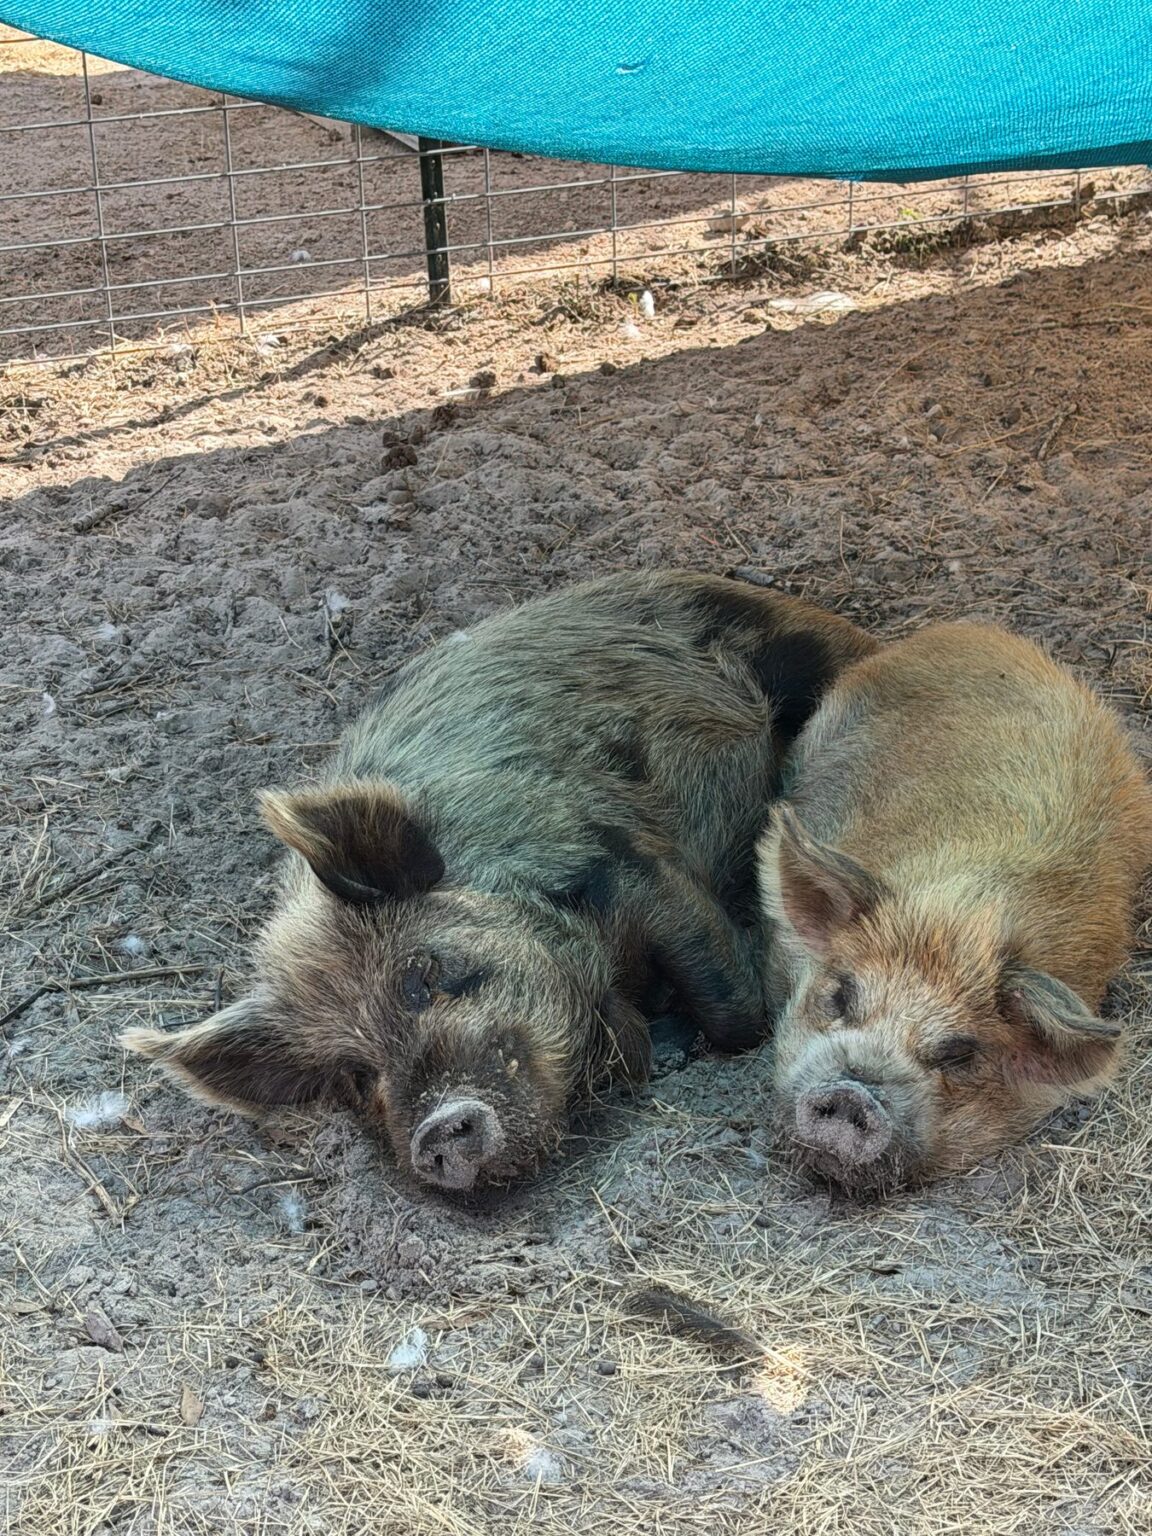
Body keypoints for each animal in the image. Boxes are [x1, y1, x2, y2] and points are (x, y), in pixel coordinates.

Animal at [124, 571, 875, 1195]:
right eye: (357, 1075)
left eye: (424, 976)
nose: (435, 1132)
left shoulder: (625, 863)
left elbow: (733, 1009)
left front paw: (674, 1046)